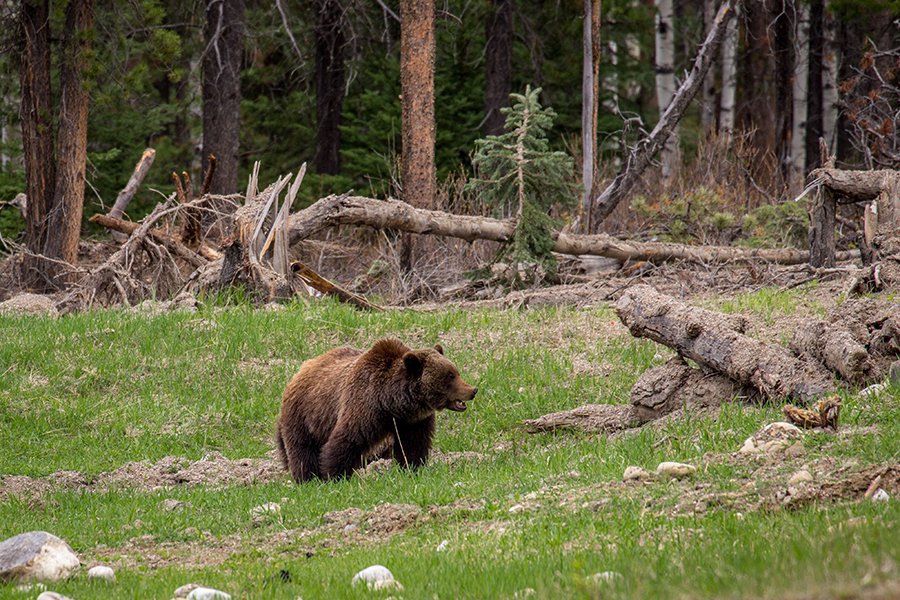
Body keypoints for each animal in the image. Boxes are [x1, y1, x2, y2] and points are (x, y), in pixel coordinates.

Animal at [276, 338, 478, 482]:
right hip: (304, 414)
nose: (473, 390)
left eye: (455, 372)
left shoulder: (412, 421)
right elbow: (345, 440)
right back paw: (307, 478)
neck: (391, 403)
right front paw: (334, 475)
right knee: (302, 449)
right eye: (450, 376)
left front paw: (413, 468)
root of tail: (298, 372)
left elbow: (413, 445)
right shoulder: (363, 406)